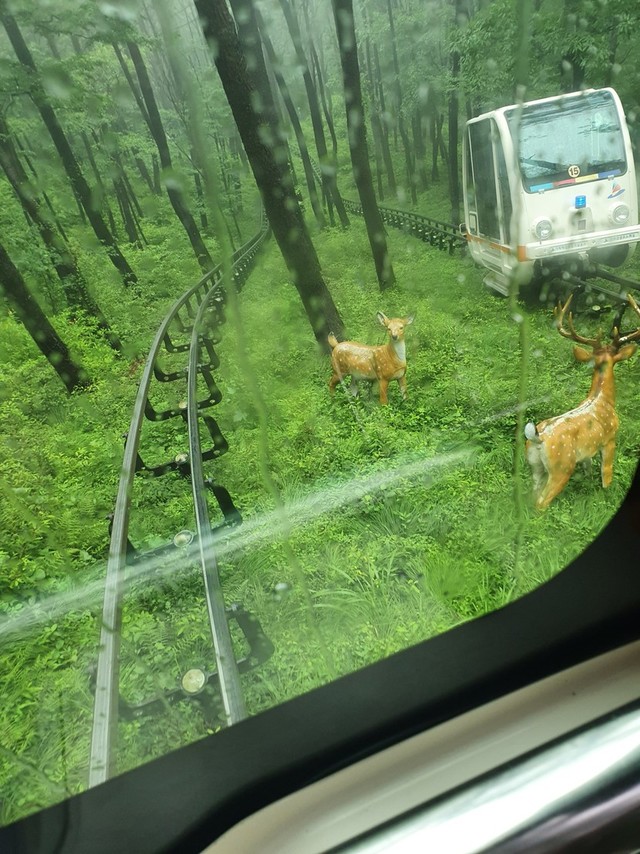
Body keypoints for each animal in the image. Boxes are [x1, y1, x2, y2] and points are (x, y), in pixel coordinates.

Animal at [525, 292, 640, 510]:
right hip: (561, 467)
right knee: (541, 503)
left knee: (532, 496)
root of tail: (537, 438)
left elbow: (588, 470)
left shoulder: (588, 451)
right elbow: (606, 474)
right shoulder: (610, 439)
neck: (604, 399)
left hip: (535, 466)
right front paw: (606, 494)